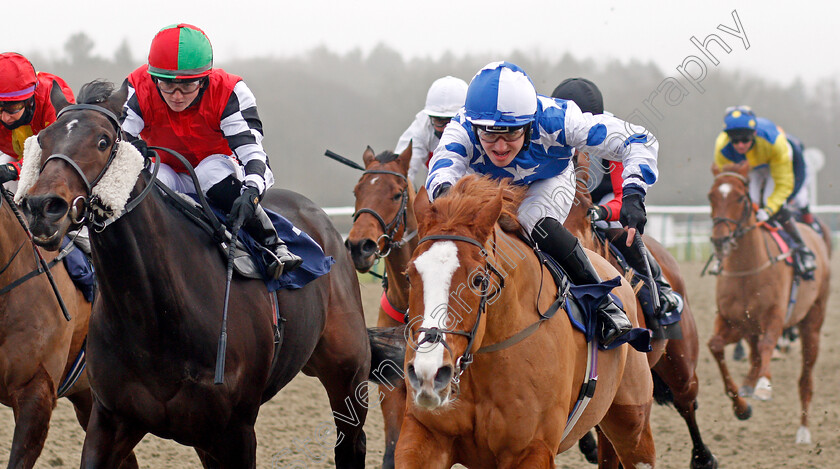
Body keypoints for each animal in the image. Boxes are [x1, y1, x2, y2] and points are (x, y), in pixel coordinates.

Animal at [18, 81, 378, 468]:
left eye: (102, 141)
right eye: (44, 139)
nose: (43, 207)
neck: (157, 317)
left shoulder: (236, 431)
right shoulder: (112, 419)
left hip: (348, 375)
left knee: (351, 440)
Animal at [396, 176, 656, 468]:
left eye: (478, 280)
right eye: (409, 275)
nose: (428, 372)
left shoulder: (531, 449)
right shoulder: (425, 434)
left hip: (632, 424)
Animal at [704, 163, 832, 444]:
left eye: (740, 198)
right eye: (711, 196)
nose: (720, 239)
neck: (747, 270)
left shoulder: (775, 316)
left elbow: (767, 345)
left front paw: (764, 385)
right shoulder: (732, 322)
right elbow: (715, 345)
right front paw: (741, 406)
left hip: (812, 322)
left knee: (805, 379)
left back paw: (803, 431)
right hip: (751, 326)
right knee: (753, 352)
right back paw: (748, 384)